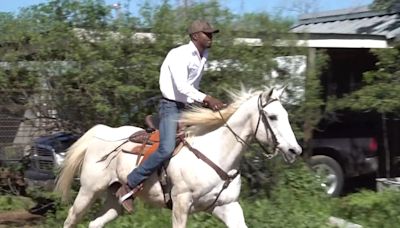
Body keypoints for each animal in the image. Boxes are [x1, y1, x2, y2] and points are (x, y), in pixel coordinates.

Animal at [54, 86, 302, 227]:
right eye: (273, 116)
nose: (294, 151)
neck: (216, 152)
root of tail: (102, 132)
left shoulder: (227, 206)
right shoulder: (181, 205)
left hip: (114, 201)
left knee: (95, 223)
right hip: (88, 191)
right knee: (70, 219)